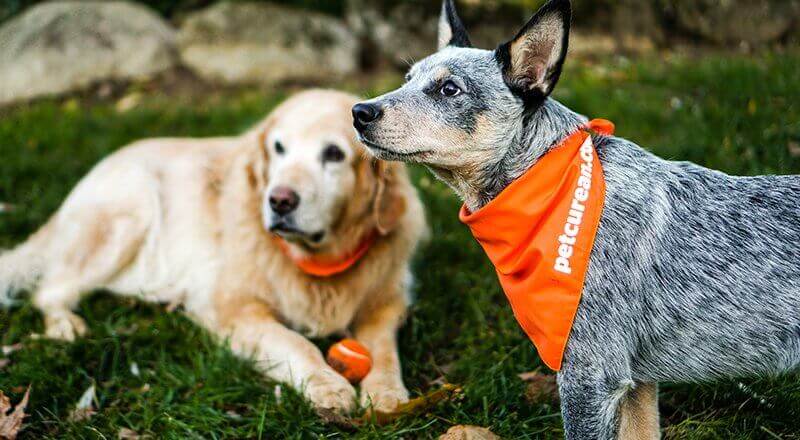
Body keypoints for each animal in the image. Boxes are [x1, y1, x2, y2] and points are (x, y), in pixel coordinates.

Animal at [354, 0, 800, 440]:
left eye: (449, 89)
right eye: (406, 79)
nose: (360, 110)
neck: (550, 181)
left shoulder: (590, 375)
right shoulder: (637, 383)